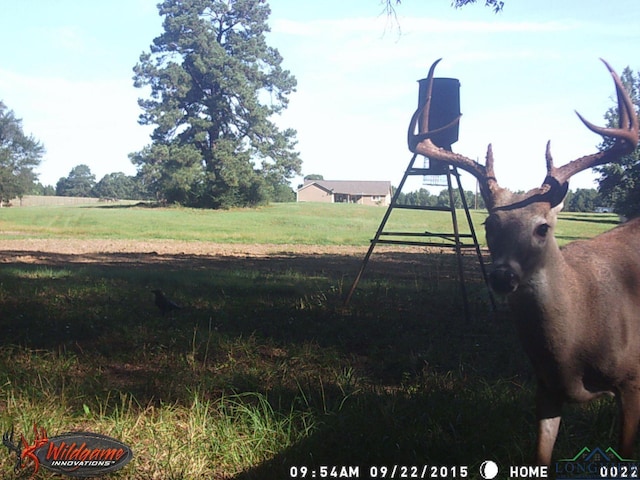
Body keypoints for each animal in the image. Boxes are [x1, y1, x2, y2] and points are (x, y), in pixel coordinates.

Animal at [410, 58, 640, 464]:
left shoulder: (632, 381)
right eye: (489, 223)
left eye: (543, 227)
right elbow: (541, 457)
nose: (502, 277)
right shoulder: (545, 387)